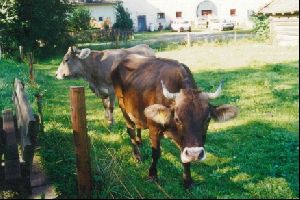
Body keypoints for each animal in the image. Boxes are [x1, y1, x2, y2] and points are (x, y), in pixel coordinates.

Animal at [110, 54, 239, 188]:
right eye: (177, 119)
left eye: (207, 119)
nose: (195, 154)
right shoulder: (154, 129)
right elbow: (156, 153)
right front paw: (152, 175)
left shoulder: (184, 142)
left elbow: (185, 158)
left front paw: (187, 181)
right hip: (123, 107)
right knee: (130, 130)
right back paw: (137, 155)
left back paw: (139, 141)